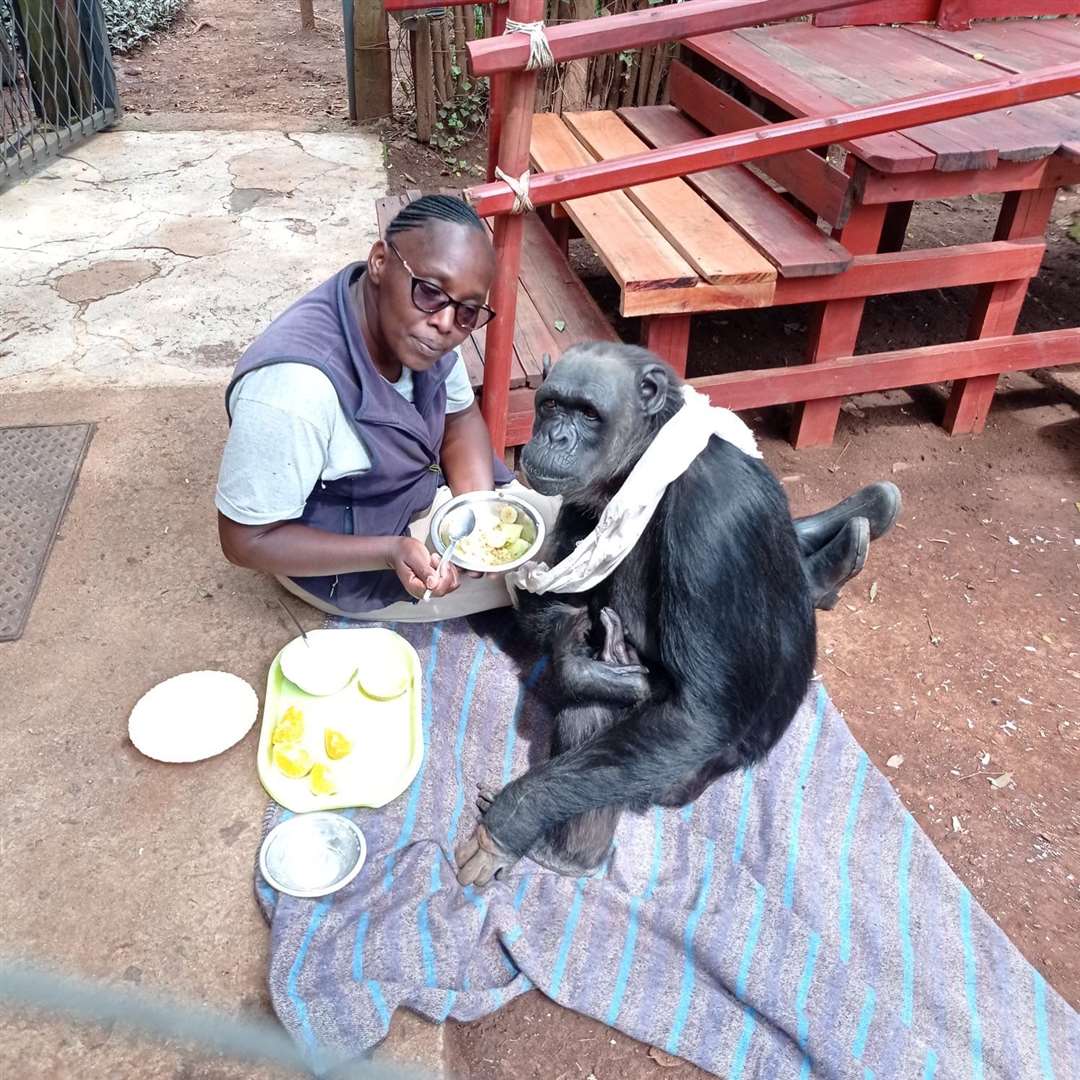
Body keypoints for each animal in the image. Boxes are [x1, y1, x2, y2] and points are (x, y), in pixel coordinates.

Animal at [460, 341, 898, 881]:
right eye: (551, 405)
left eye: (588, 413)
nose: (555, 434)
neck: (646, 463)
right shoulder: (580, 500)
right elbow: (558, 605)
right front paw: (577, 656)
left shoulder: (713, 519)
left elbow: (700, 717)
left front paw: (514, 817)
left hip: (682, 779)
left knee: (613, 716)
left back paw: (567, 853)